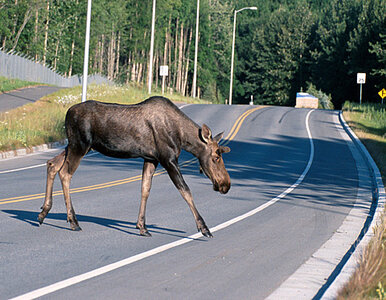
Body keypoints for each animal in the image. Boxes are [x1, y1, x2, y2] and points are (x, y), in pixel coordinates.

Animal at [37, 97, 229, 238]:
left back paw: (43, 212)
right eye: (216, 157)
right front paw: (204, 228)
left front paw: (142, 226)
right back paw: (73, 222)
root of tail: (67, 113)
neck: (182, 137)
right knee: (65, 173)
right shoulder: (168, 159)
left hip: (75, 145)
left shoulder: (151, 159)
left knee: (52, 164)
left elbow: (145, 189)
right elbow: (186, 191)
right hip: (80, 145)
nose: (225, 185)